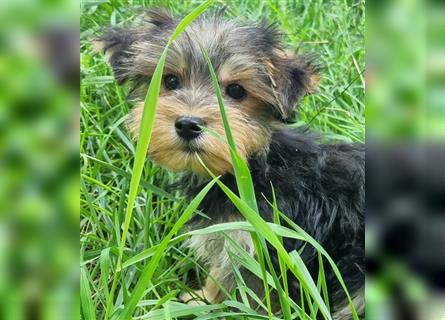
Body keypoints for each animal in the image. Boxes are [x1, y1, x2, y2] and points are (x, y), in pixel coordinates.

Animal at [98, 8, 364, 320]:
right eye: (171, 81)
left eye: (236, 91)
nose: (188, 124)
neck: (255, 166)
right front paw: (200, 300)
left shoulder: (261, 242)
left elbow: (240, 284)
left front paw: (205, 304)